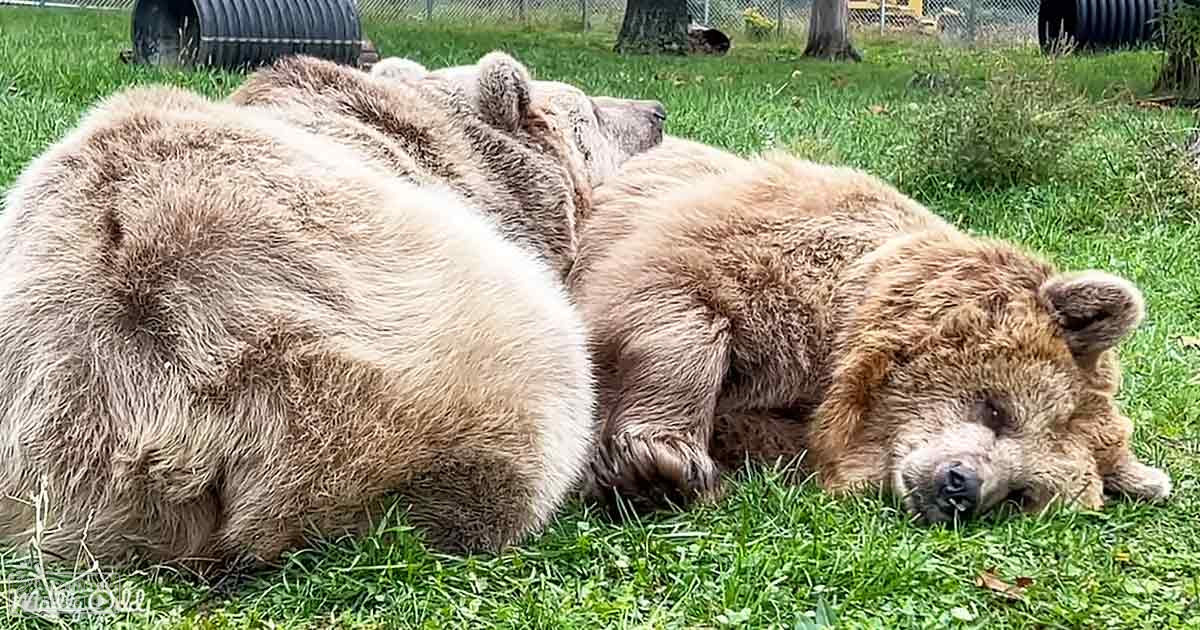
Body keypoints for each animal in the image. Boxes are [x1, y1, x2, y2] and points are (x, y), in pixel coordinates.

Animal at [570, 138, 1173, 524]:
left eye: (1022, 493)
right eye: (998, 410)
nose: (960, 486)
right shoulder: (761, 257)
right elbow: (675, 306)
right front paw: (657, 464)